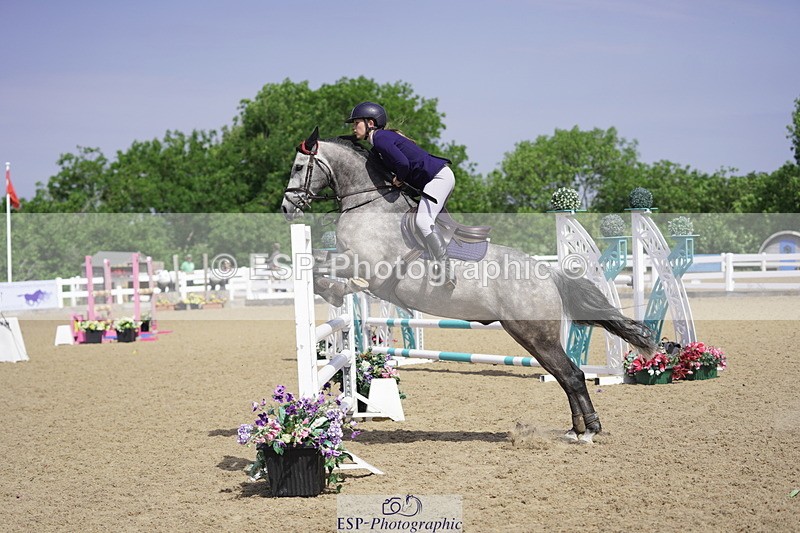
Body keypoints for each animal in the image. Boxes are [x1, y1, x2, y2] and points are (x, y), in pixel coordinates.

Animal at [281, 127, 656, 443]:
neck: (369, 204)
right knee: (566, 376)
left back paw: (588, 430)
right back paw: (577, 429)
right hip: (529, 335)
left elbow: (317, 266)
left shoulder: (364, 263)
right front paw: (333, 290)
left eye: (299, 166)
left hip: (535, 333)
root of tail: (549, 274)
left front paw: (333, 290)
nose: (287, 208)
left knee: (573, 375)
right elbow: (318, 264)